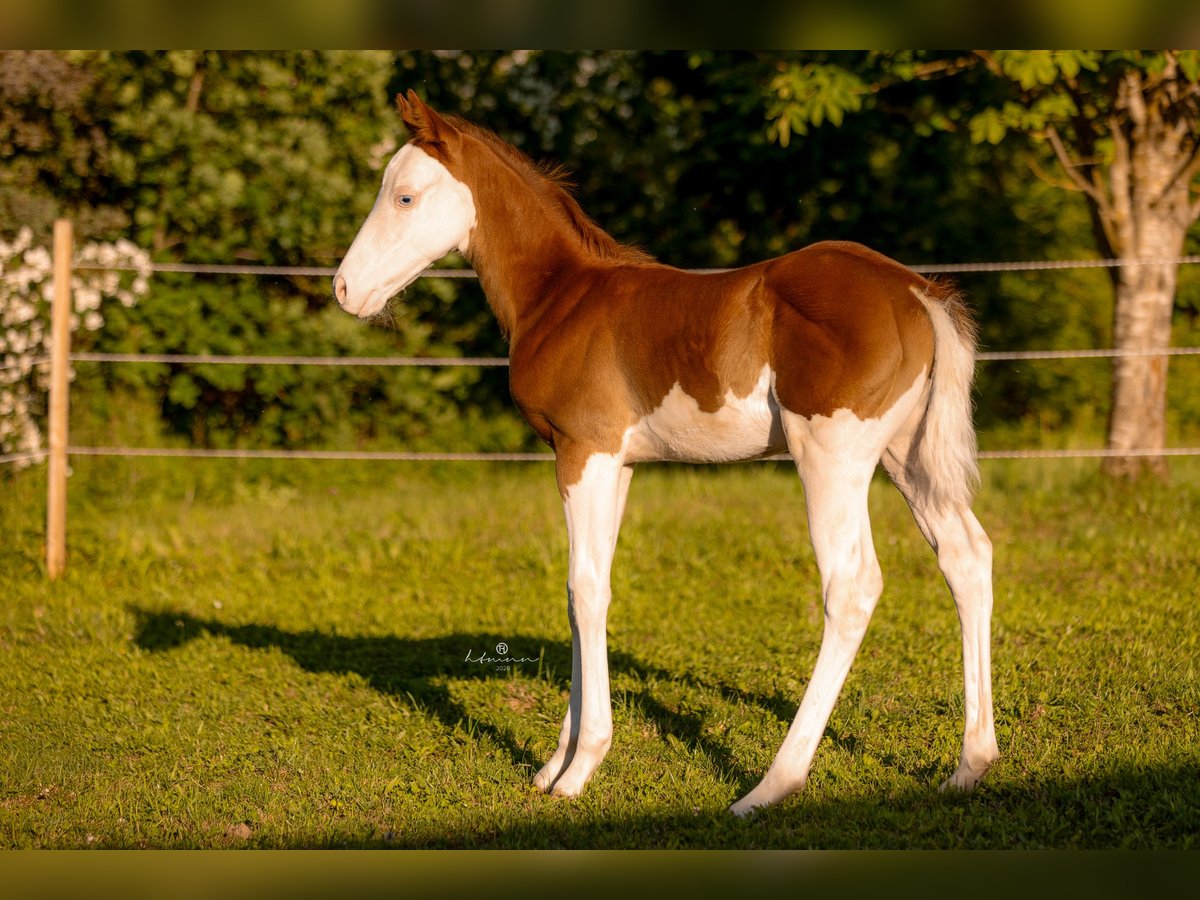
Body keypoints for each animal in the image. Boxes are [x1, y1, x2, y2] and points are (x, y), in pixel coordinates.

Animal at [334, 91, 999, 815]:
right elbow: (587, 586)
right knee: (966, 557)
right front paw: (554, 762)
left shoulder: (583, 452)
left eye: (403, 196)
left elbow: (585, 588)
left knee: (851, 587)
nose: (345, 289)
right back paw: (971, 764)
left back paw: (772, 785)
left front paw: (580, 768)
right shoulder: (614, 465)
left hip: (831, 456)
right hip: (906, 457)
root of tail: (917, 293)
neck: (561, 295)